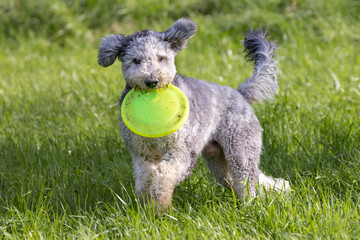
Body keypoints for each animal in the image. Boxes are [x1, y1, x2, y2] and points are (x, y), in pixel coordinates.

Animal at [97, 18, 290, 210]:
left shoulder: (181, 152)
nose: (152, 81)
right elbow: (143, 180)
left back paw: (253, 204)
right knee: (252, 180)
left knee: (248, 180)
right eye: (136, 60)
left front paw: (161, 204)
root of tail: (240, 94)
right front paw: (147, 207)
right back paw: (281, 189)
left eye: (161, 58)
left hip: (241, 150)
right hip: (220, 162)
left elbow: (163, 175)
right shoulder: (142, 154)